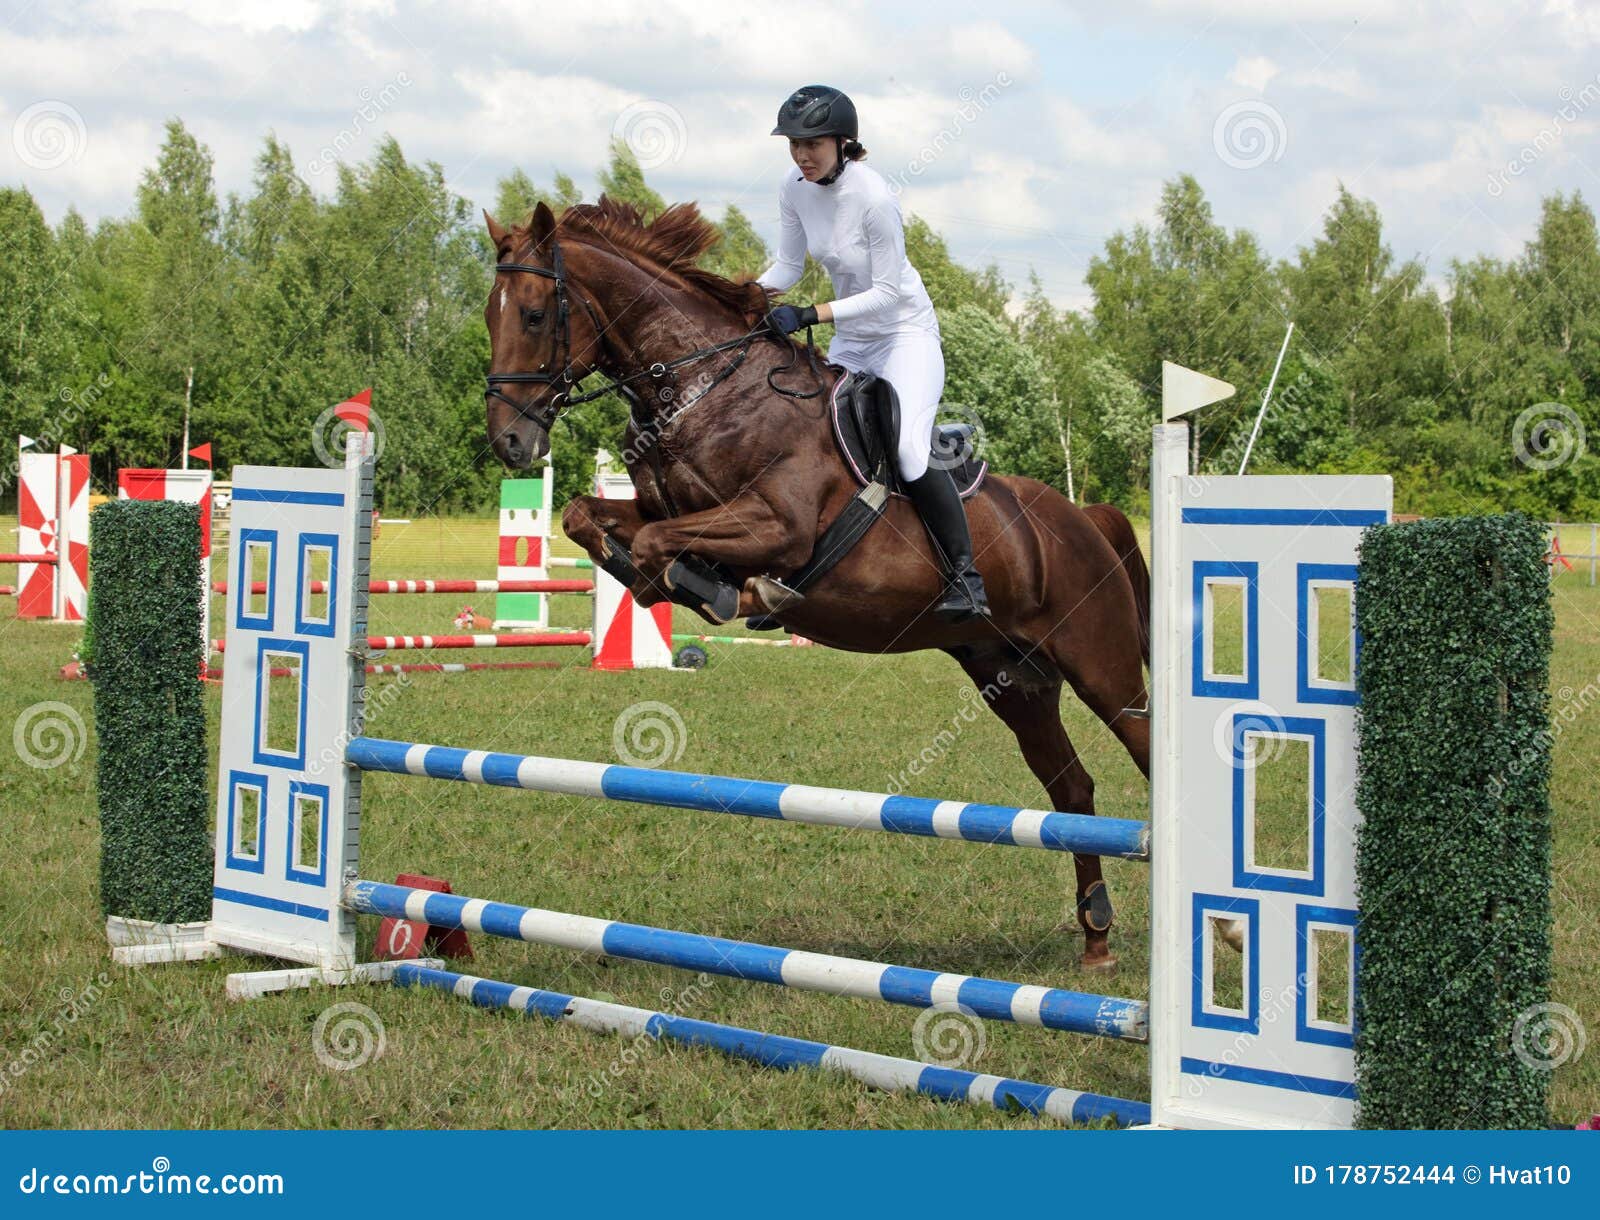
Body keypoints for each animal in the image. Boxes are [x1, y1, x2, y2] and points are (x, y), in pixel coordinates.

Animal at [476, 194, 1152, 967]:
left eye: (534, 315)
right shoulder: (665, 506)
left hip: (1102, 669)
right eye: (490, 315)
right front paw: (670, 585)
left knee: (1146, 752)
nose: (510, 442)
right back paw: (1096, 933)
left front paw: (729, 590)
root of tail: (1084, 520)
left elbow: (658, 545)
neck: (705, 389)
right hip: (1014, 679)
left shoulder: (779, 525)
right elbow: (589, 518)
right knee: (1072, 787)